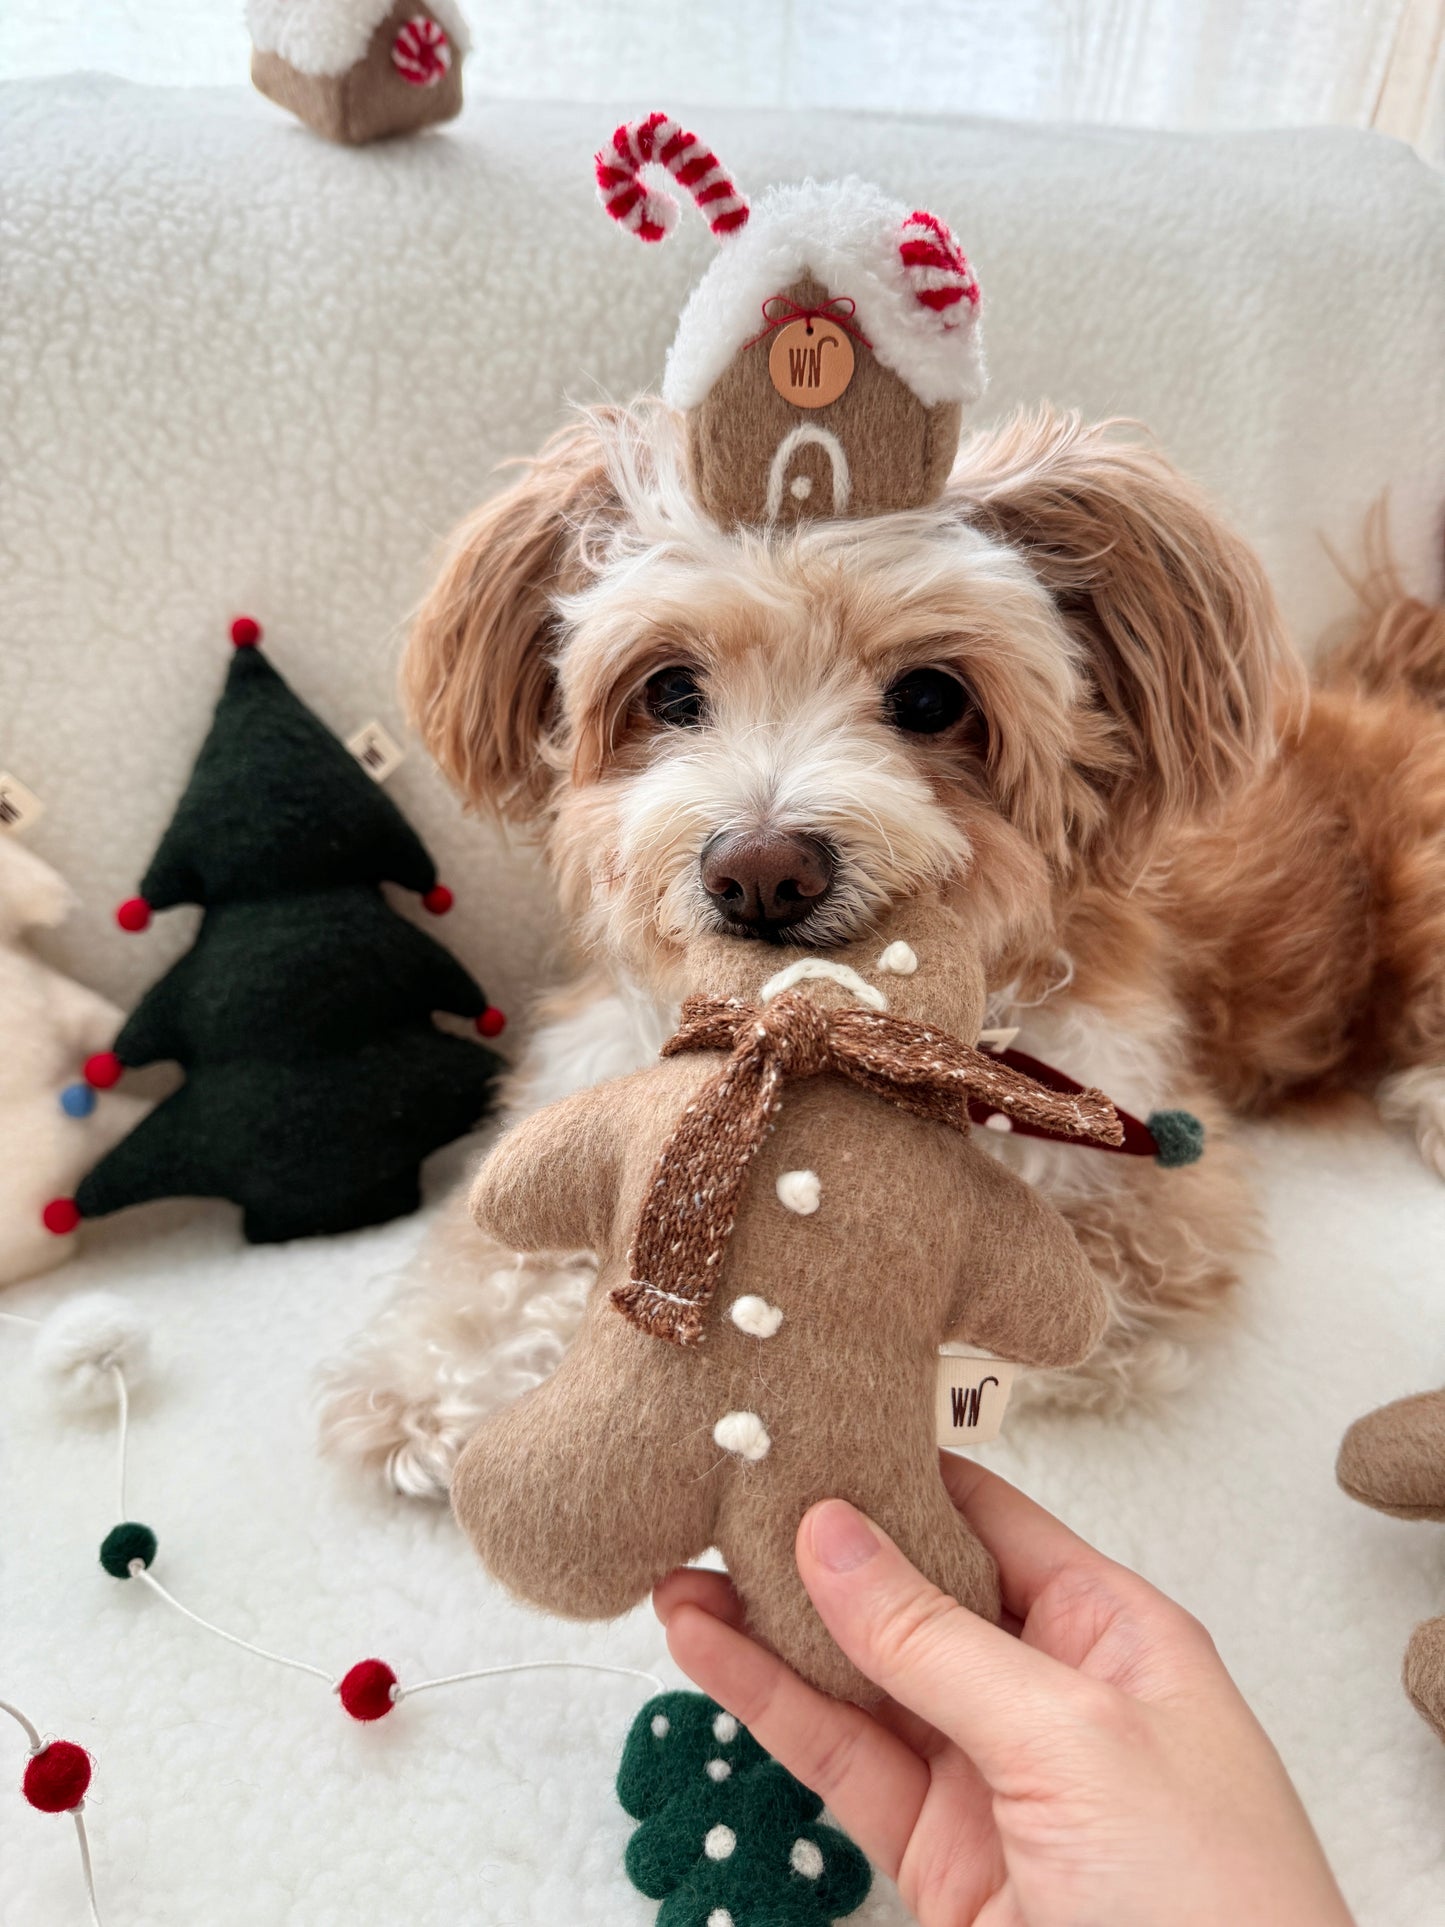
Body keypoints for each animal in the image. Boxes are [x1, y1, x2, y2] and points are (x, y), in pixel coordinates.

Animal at [321, 398, 1445, 1495]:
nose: (761, 871)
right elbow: (505, 1253)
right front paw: (431, 1388)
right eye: (670, 690)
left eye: (931, 697)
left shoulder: (1144, 1203)